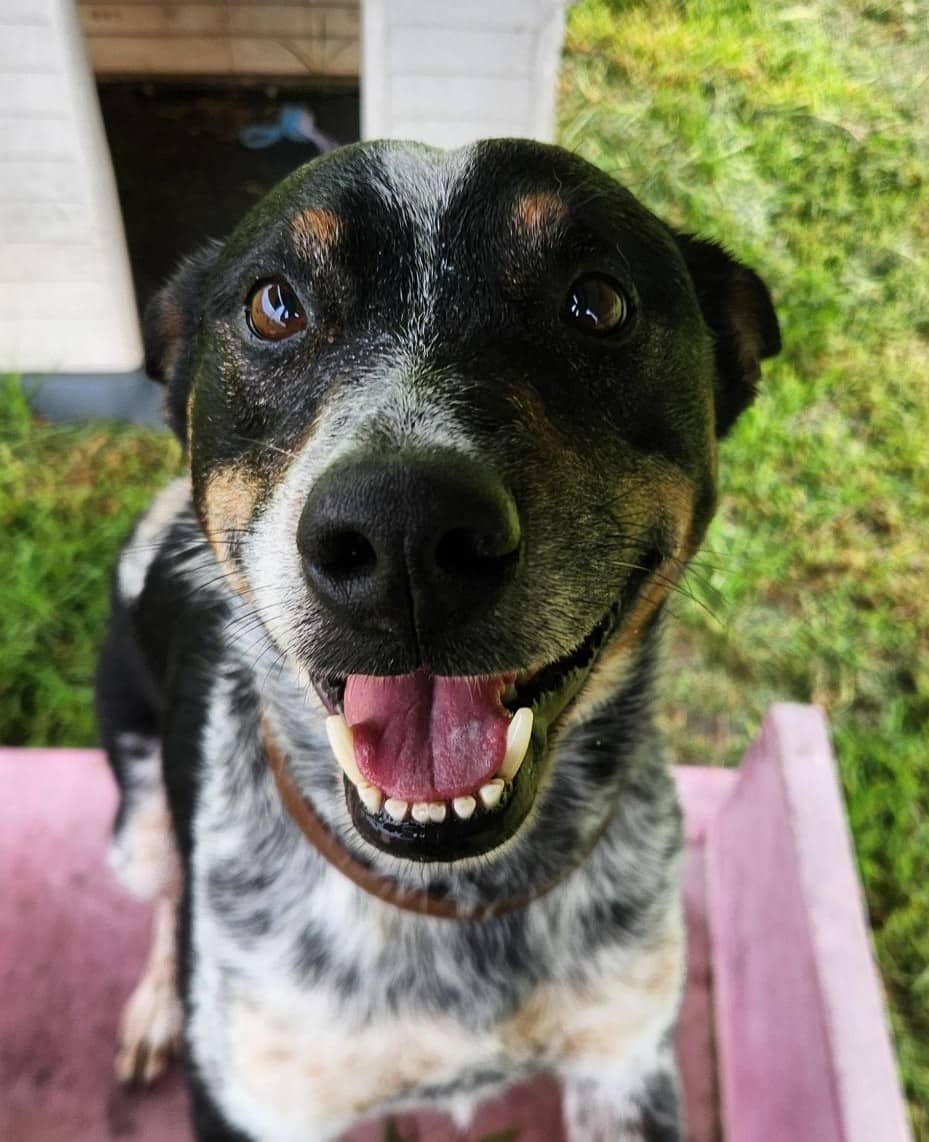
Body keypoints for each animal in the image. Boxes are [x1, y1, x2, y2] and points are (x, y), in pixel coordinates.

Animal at [96, 138, 780, 1141]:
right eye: (273, 305)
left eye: (597, 301)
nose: (403, 534)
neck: (454, 903)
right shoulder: (257, 1099)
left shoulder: (627, 1062)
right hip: (137, 815)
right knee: (160, 890)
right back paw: (152, 1006)